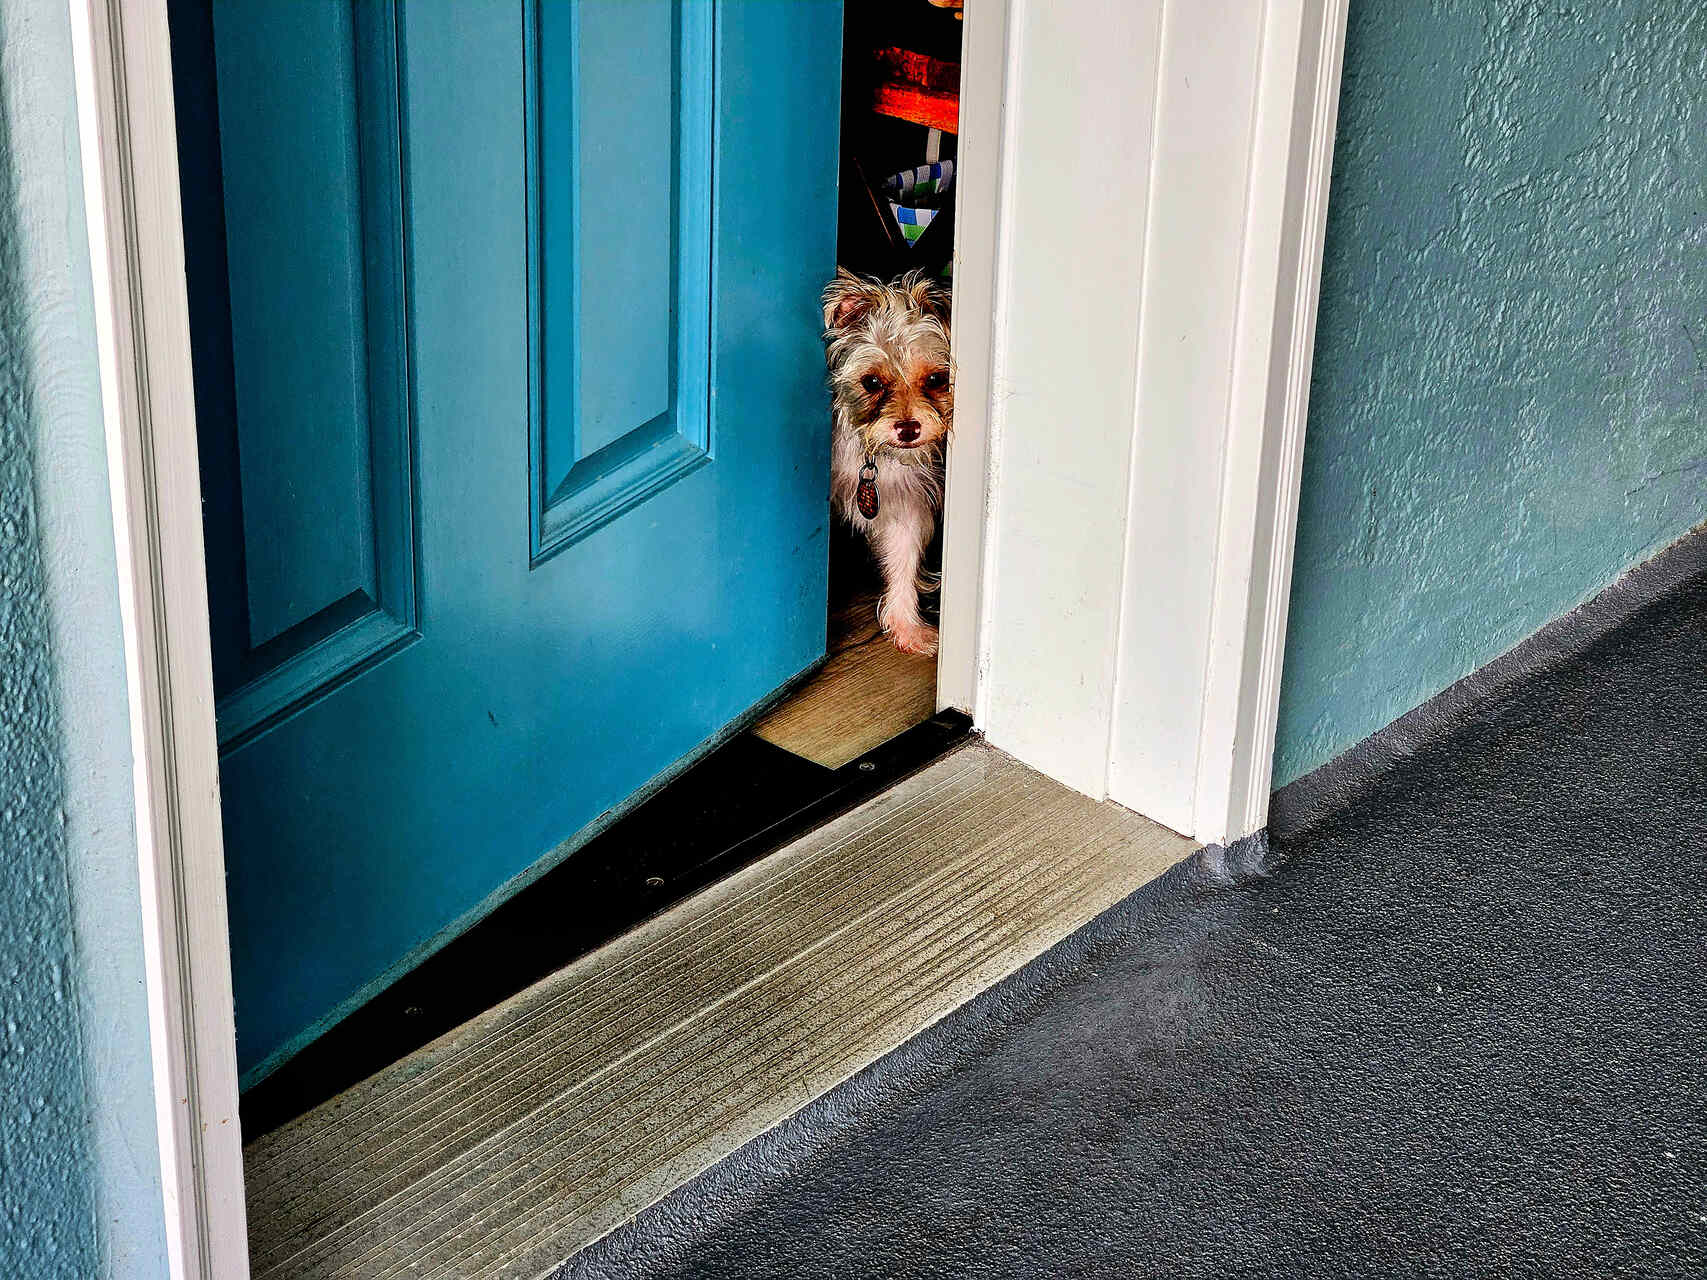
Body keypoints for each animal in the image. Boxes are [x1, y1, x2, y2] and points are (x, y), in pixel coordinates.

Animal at [822, 266, 955, 655]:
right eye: (872, 382)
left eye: (936, 378)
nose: (908, 429)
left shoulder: (907, 502)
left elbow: (903, 561)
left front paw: (907, 626)